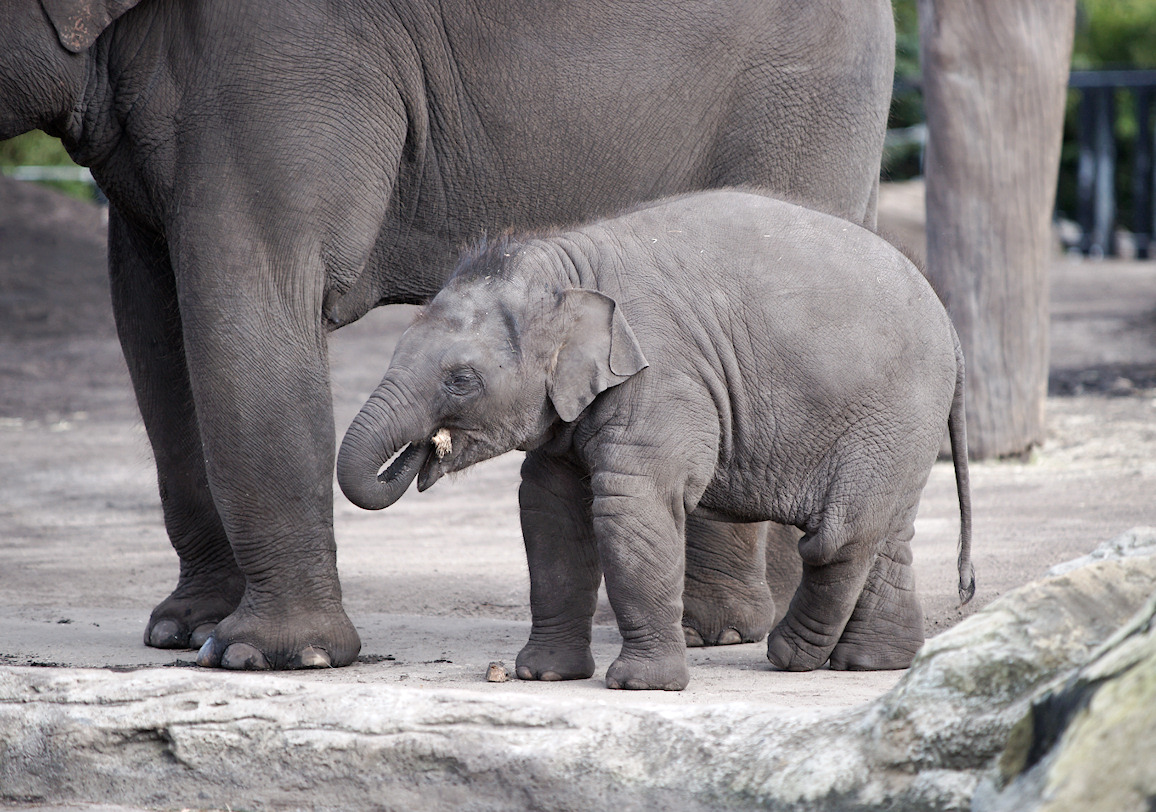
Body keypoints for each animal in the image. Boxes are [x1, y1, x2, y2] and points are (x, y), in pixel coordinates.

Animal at [2, 0, 892, 670]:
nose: (424, 451)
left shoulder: (281, 55)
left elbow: (250, 289)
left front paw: (267, 656)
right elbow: (151, 319)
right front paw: (184, 632)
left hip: (799, 86)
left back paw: (716, 631)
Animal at [337, 190, 971, 694]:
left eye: (461, 379)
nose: (427, 450)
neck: (566, 266)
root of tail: (951, 326)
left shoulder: (662, 379)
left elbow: (630, 506)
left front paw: (641, 686)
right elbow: (548, 510)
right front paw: (543, 675)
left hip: (892, 414)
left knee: (842, 534)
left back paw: (791, 657)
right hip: (902, 427)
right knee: (889, 530)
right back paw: (872, 664)